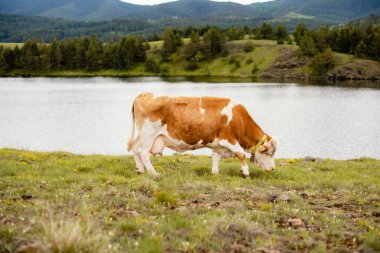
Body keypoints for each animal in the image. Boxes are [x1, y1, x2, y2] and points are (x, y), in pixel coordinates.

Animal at [127, 92, 276, 177]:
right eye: (269, 153)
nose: (272, 169)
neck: (239, 119)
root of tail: (145, 95)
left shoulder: (217, 143)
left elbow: (216, 157)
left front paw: (215, 173)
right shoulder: (228, 138)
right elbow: (241, 154)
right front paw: (245, 172)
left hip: (142, 135)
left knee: (134, 148)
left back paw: (140, 169)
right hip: (148, 135)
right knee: (143, 153)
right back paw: (154, 173)